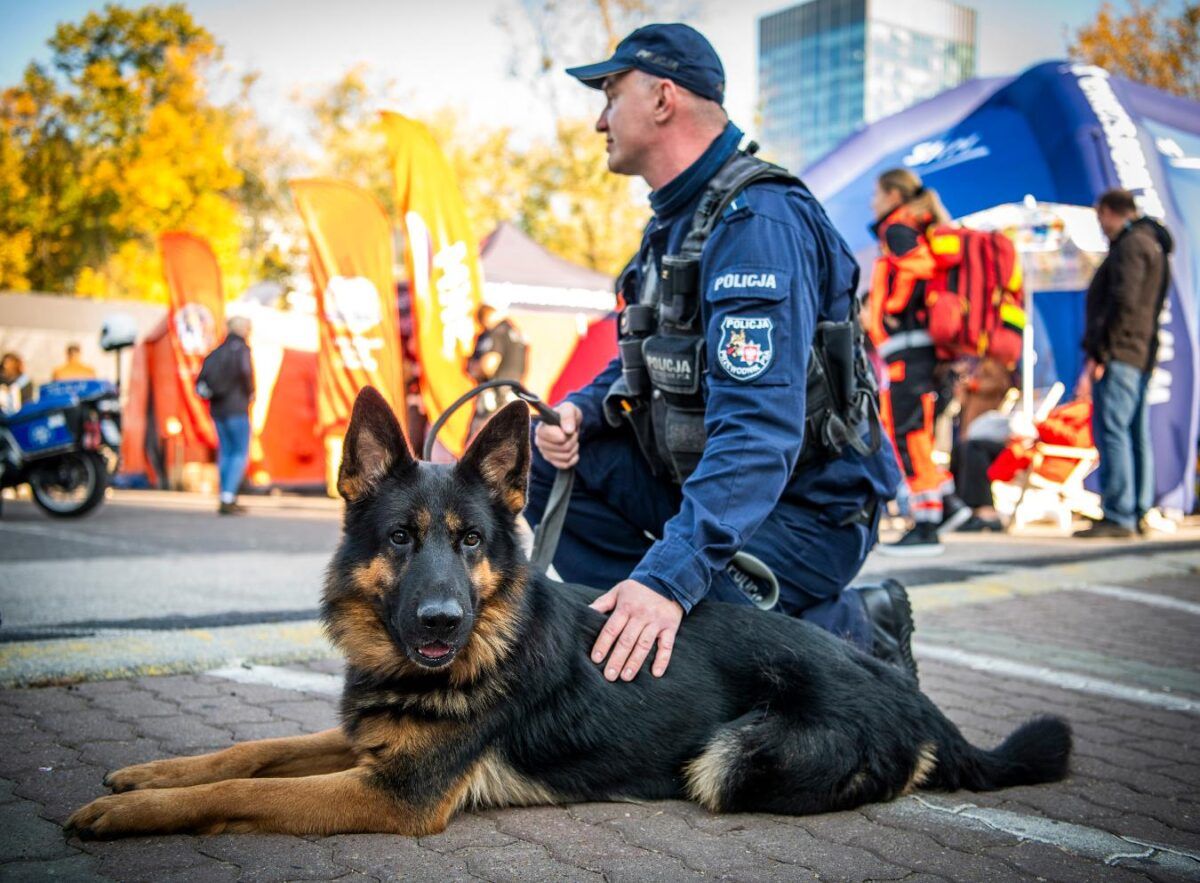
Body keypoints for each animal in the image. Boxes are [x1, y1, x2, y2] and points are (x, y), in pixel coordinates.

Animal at [70, 388, 1075, 839]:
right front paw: (149, 774)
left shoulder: (392, 793)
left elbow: (244, 790)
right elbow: (249, 750)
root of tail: (911, 697)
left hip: (730, 758)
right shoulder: (366, 743)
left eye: (471, 542)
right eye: (400, 537)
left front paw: (125, 812)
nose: (438, 623)